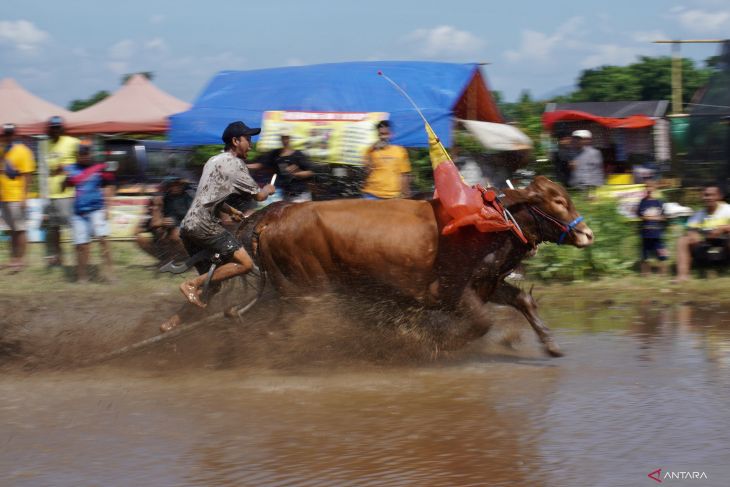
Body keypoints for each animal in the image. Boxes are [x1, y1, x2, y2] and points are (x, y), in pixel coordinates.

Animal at [245, 177, 592, 356]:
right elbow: (482, 323)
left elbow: (523, 300)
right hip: (305, 294)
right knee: (274, 330)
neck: (490, 223)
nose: (587, 233)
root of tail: (273, 219)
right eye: (558, 201)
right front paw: (434, 344)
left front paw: (550, 344)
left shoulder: (487, 284)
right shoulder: (454, 292)